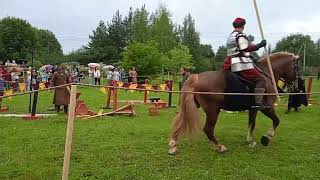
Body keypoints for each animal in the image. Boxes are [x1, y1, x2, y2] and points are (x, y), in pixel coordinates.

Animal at [170, 52, 300, 155]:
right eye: (297, 68)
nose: (296, 87)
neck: (268, 74)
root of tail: (196, 78)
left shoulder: (253, 109)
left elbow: (251, 124)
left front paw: (250, 141)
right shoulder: (267, 108)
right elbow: (276, 121)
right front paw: (267, 137)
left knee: (179, 120)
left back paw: (173, 145)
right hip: (213, 111)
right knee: (208, 129)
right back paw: (220, 147)